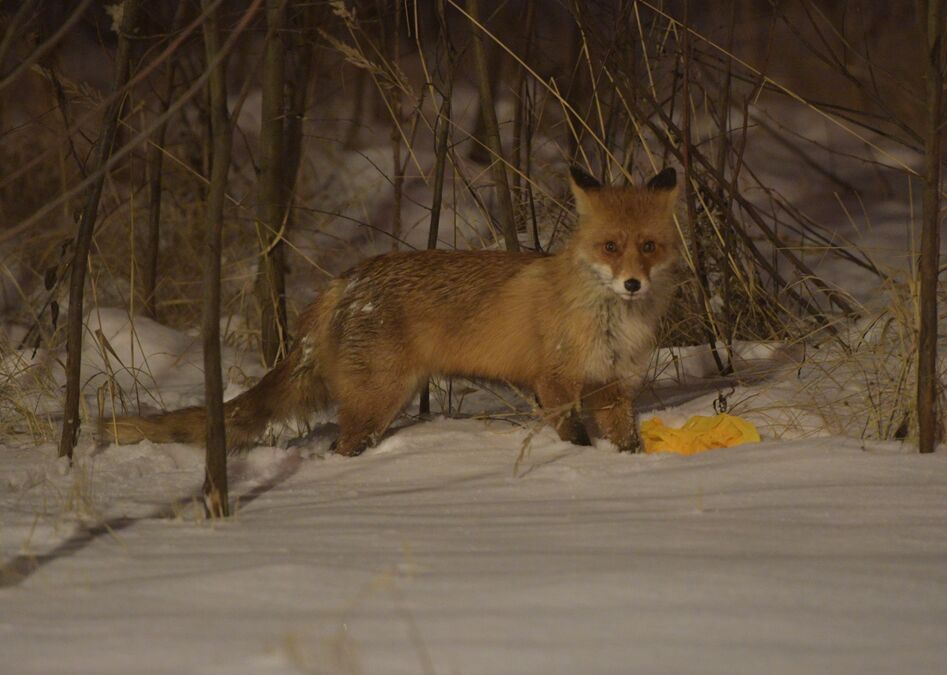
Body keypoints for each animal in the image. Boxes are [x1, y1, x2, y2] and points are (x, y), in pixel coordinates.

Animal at [102, 166, 680, 456]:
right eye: (610, 246)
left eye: (649, 247)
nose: (632, 284)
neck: (610, 324)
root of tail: (347, 278)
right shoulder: (555, 382)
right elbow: (573, 435)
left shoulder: (613, 386)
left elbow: (626, 440)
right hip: (378, 401)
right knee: (341, 447)